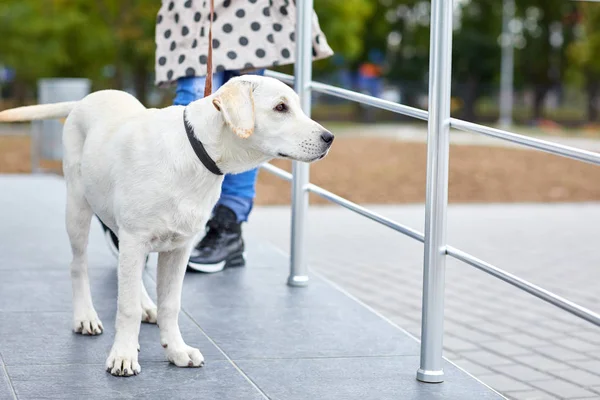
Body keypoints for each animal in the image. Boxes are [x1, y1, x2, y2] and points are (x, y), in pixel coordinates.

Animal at [0, 74, 332, 376]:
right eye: (280, 107)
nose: (329, 138)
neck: (197, 155)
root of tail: (86, 99)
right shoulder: (135, 239)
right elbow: (126, 307)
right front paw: (123, 356)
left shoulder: (178, 248)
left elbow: (170, 304)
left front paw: (176, 350)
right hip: (78, 209)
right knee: (78, 265)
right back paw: (86, 317)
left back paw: (148, 306)